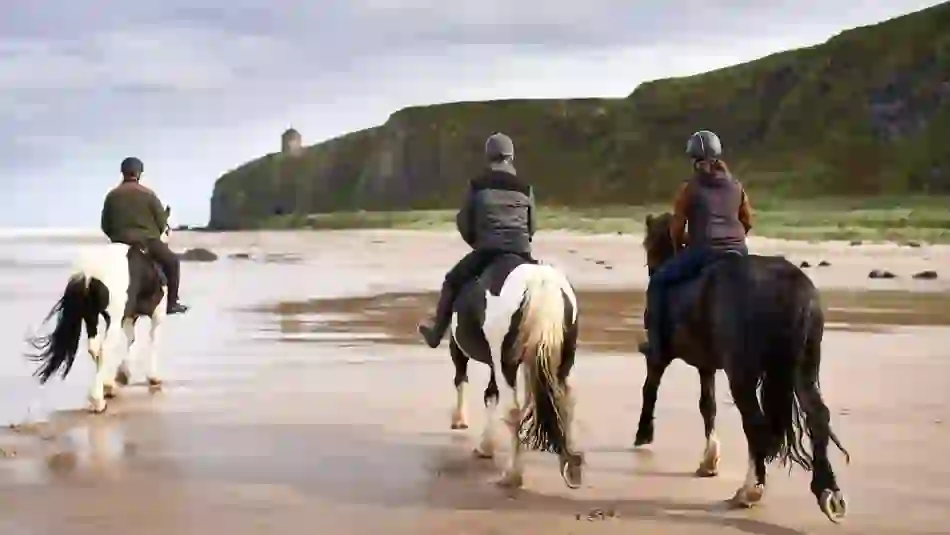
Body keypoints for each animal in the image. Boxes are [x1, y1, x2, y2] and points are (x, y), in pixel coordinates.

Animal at [25, 207, 175, 412]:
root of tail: (88, 274)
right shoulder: (156, 314)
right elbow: (151, 340)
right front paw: (151, 377)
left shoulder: (129, 316)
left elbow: (131, 340)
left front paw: (119, 376)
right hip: (113, 317)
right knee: (104, 349)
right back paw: (98, 400)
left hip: (91, 316)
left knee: (94, 348)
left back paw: (105, 388)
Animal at [442, 253, 584, 492]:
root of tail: (540, 283)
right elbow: (492, 394)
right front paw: (486, 444)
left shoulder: (460, 348)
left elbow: (463, 379)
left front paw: (462, 422)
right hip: (561, 358)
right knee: (566, 402)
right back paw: (570, 467)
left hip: (504, 361)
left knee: (512, 410)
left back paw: (512, 475)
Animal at [636, 213, 852, 524]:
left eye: (648, 245)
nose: (652, 269)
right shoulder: (706, 365)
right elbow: (708, 406)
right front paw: (709, 460)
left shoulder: (660, 357)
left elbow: (650, 388)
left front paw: (643, 433)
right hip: (804, 369)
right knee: (817, 416)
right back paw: (829, 493)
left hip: (741, 375)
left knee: (756, 426)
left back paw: (749, 491)